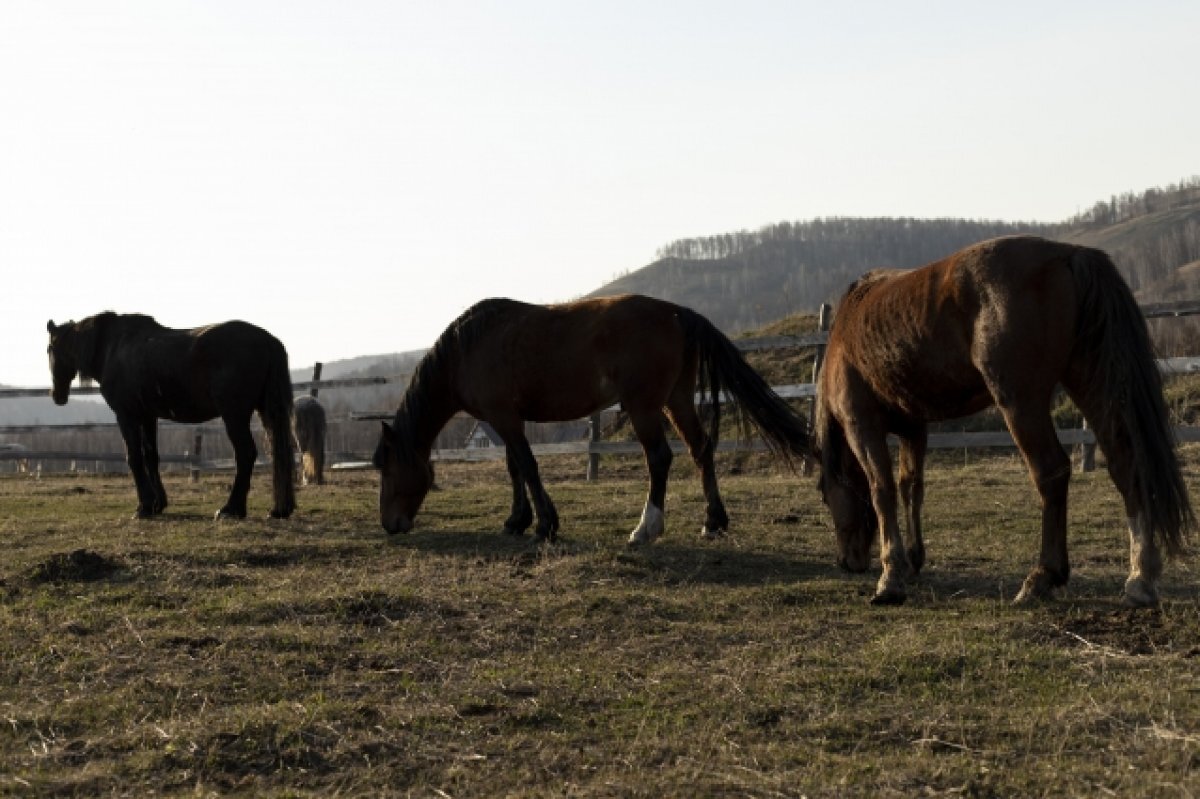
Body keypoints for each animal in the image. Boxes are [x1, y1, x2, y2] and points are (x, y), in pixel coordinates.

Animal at [46, 311, 295, 523]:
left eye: (50, 349)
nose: (57, 395)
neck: (112, 348)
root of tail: (268, 340)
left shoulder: (127, 415)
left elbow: (134, 457)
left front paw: (144, 507)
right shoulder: (148, 416)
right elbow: (151, 457)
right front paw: (158, 504)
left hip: (234, 415)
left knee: (245, 454)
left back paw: (230, 509)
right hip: (265, 412)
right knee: (277, 452)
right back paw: (278, 510)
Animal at [369, 295, 811, 544]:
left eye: (387, 468)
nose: (389, 524)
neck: (467, 348)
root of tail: (676, 312)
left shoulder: (504, 418)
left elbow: (527, 465)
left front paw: (545, 525)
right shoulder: (507, 420)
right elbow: (515, 467)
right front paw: (517, 521)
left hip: (645, 407)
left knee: (660, 459)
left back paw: (645, 528)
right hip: (677, 400)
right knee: (701, 449)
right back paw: (714, 522)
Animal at [816, 235, 1190, 604]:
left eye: (824, 494)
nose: (847, 562)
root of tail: (1068, 254)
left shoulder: (862, 426)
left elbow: (882, 491)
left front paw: (891, 577)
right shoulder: (914, 429)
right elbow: (912, 487)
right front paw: (912, 560)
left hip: (1021, 403)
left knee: (1051, 472)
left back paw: (1042, 577)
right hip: (1093, 385)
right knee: (1127, 465)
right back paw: (1140, 578)